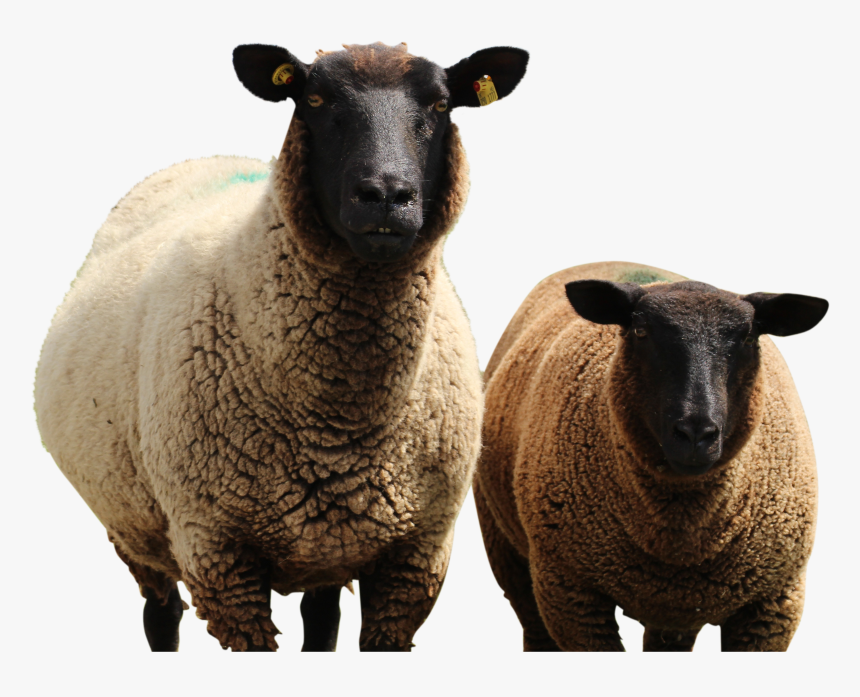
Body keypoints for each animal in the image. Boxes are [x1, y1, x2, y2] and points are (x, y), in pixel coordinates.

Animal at [35, 41, 528, 652]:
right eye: (313, 99)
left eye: (441, 104)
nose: (386, 197)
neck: (341, 421)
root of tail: (206, 158)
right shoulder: (220, 556)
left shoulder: (416, 559)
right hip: (135, 527)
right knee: (160, 614)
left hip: (328, 545)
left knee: (321, 617)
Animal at [474, 261, 828, 651]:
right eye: (641, 331)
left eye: (750, 338)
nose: (695, 433)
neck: (680, 533)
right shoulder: (572, 595)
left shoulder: (773, 604)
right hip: (507, 549)